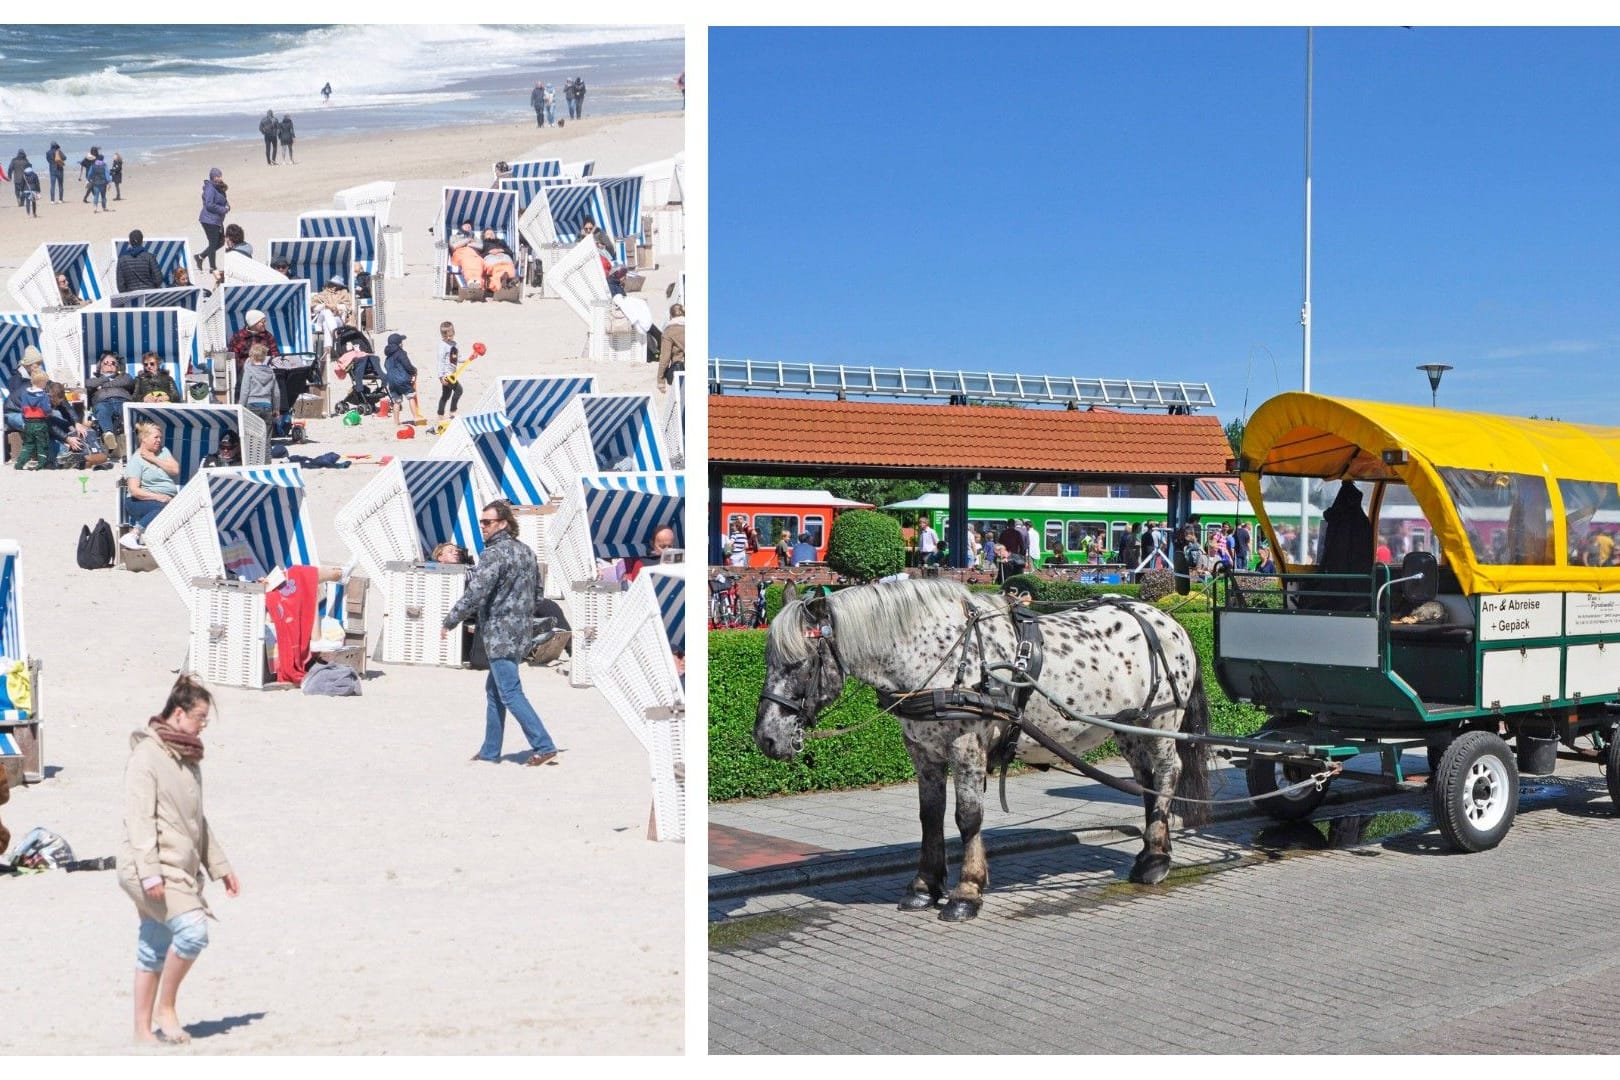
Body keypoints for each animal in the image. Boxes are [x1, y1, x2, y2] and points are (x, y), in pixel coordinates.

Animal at [751, 579, 1211, 926]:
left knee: (1167, 773)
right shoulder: (923, 751)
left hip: (1160, 723)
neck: (939, 656)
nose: (767, 737)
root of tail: (1167, 619)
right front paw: (924, 886)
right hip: (1127, 727)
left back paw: (1155, 860)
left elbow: (967, 817)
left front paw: (966, 893)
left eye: (799, 664)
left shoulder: (966, 747)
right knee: (1146, 781)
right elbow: (930, 816)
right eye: (768, 660)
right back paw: (1153, 849)